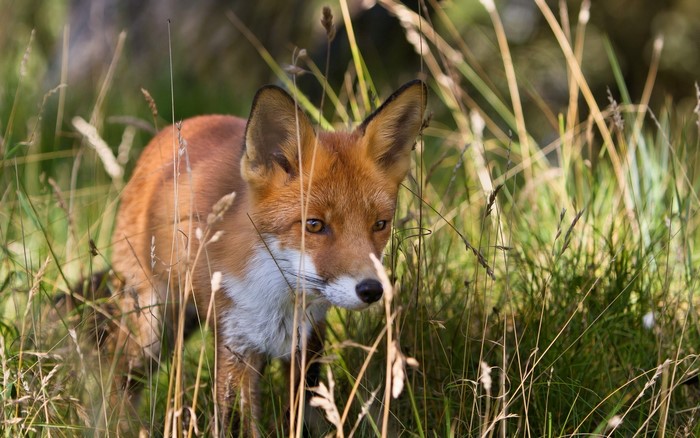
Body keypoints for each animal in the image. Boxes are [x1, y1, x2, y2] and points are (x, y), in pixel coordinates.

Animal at [100, 79, 427, 435]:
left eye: (379, 224)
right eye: (314, 225)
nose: (371, 290)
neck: (276, 296)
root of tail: (175, 128)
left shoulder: (306, 341)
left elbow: (301, 410)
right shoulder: (235, 342)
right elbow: (234, 419)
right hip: (151, 328)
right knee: (118, 375)